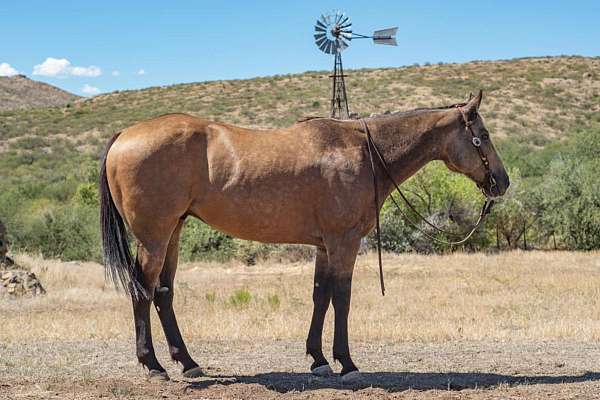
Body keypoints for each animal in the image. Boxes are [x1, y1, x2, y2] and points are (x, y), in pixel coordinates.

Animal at [101, 91, 508, 384]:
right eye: (483, 136)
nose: (502, 182)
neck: (363, 152)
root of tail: (125, 135)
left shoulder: (325, 246)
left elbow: (320, 297)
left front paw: (318, 359)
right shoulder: (344, 242)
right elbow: (342, 298)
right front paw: (347, 363)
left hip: (173, 232)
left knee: (164, 293)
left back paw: (187, 362)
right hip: (154, 238)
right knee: (143, 290)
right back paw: (154, 366)